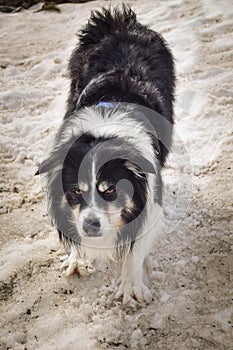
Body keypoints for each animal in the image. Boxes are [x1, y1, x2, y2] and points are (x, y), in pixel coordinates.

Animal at [36, 5, 175, 304]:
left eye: (110, 190)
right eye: (76, 191)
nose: (91, 227)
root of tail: (117, 20)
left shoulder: (149, 195)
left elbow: (136, 245)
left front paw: (131, 285)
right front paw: (77, 259)